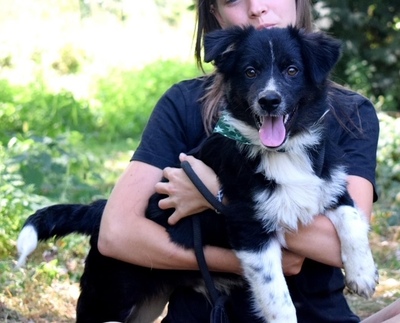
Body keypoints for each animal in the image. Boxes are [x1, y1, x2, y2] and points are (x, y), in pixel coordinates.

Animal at [16, 26, 378, 322]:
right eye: (250, 71)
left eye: (292, 70)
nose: (269, 100)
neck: (283, 153)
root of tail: (100, 210)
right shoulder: (250, 230)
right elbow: (280, 301)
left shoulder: (330, 186)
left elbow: (353, 218)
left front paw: (362, 274)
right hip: (105, 299)